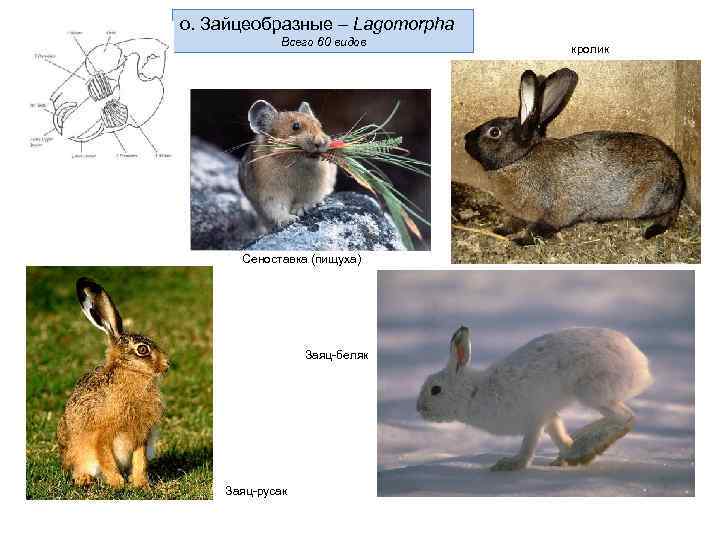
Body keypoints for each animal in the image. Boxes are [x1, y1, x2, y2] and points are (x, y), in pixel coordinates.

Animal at [56, 278, 169, 488]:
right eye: (142, 350)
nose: (167, 364)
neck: (129, 373)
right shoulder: (101, 434)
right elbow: (105, 458)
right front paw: (117, 483)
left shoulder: (141, 435)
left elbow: (140, 460)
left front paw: (141, 483)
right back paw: (84, 479)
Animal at [416, 326, 653, 471]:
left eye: (435, 390)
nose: (419, 408)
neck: (474, 392)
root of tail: (640, 363)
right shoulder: (548, 416)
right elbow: (558, 434)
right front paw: (568, 454)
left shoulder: (534, 419)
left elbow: (528, 447)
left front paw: (510, 465)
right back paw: (581, 446)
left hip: (591, 391)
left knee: (625, 417)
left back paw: (589, 446)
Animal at [463, 68, 685, 243]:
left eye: (494, 132)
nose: (465, 139)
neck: (520, 159)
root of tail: (677, 174)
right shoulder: (520, 213)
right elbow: (513, 223)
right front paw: (499, 230)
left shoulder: (553, 213)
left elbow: (538, 230)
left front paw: (520, 241)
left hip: (652, 200)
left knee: (669, 213)